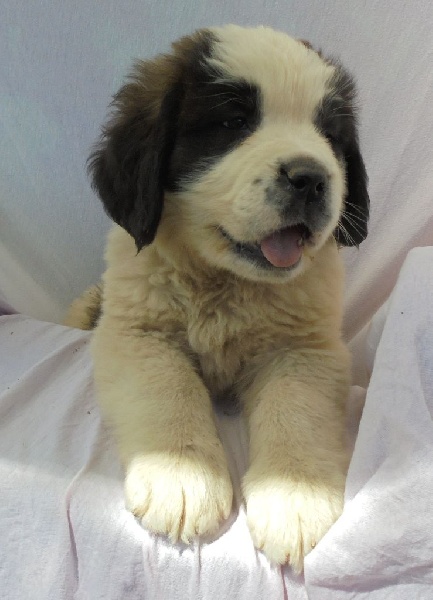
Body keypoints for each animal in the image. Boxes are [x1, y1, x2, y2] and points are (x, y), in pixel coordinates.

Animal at [65, 24, 369, 572]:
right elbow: (168, 386)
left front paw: (295, 494)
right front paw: (181, 476)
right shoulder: (136, 332)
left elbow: (295, 404)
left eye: (329, 136)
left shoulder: (306, 349)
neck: (225, 283)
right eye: (233, 122)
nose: (312, 178)